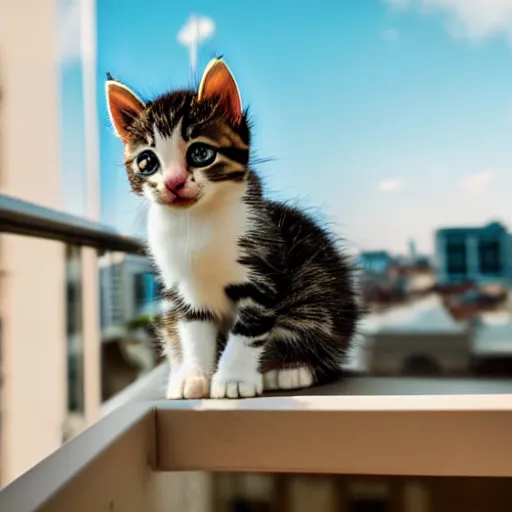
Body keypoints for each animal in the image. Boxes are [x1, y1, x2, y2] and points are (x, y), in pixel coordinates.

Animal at [105, 57, 360, 400]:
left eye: (200, 153)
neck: (195, 222)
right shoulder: (184, 292)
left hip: (319, 295)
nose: (173, 183)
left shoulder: (263, 273)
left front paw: (232, 380)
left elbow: (248, 330)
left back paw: (289, 369)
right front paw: (194, 376)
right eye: (147, 162)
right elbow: (192, 331)